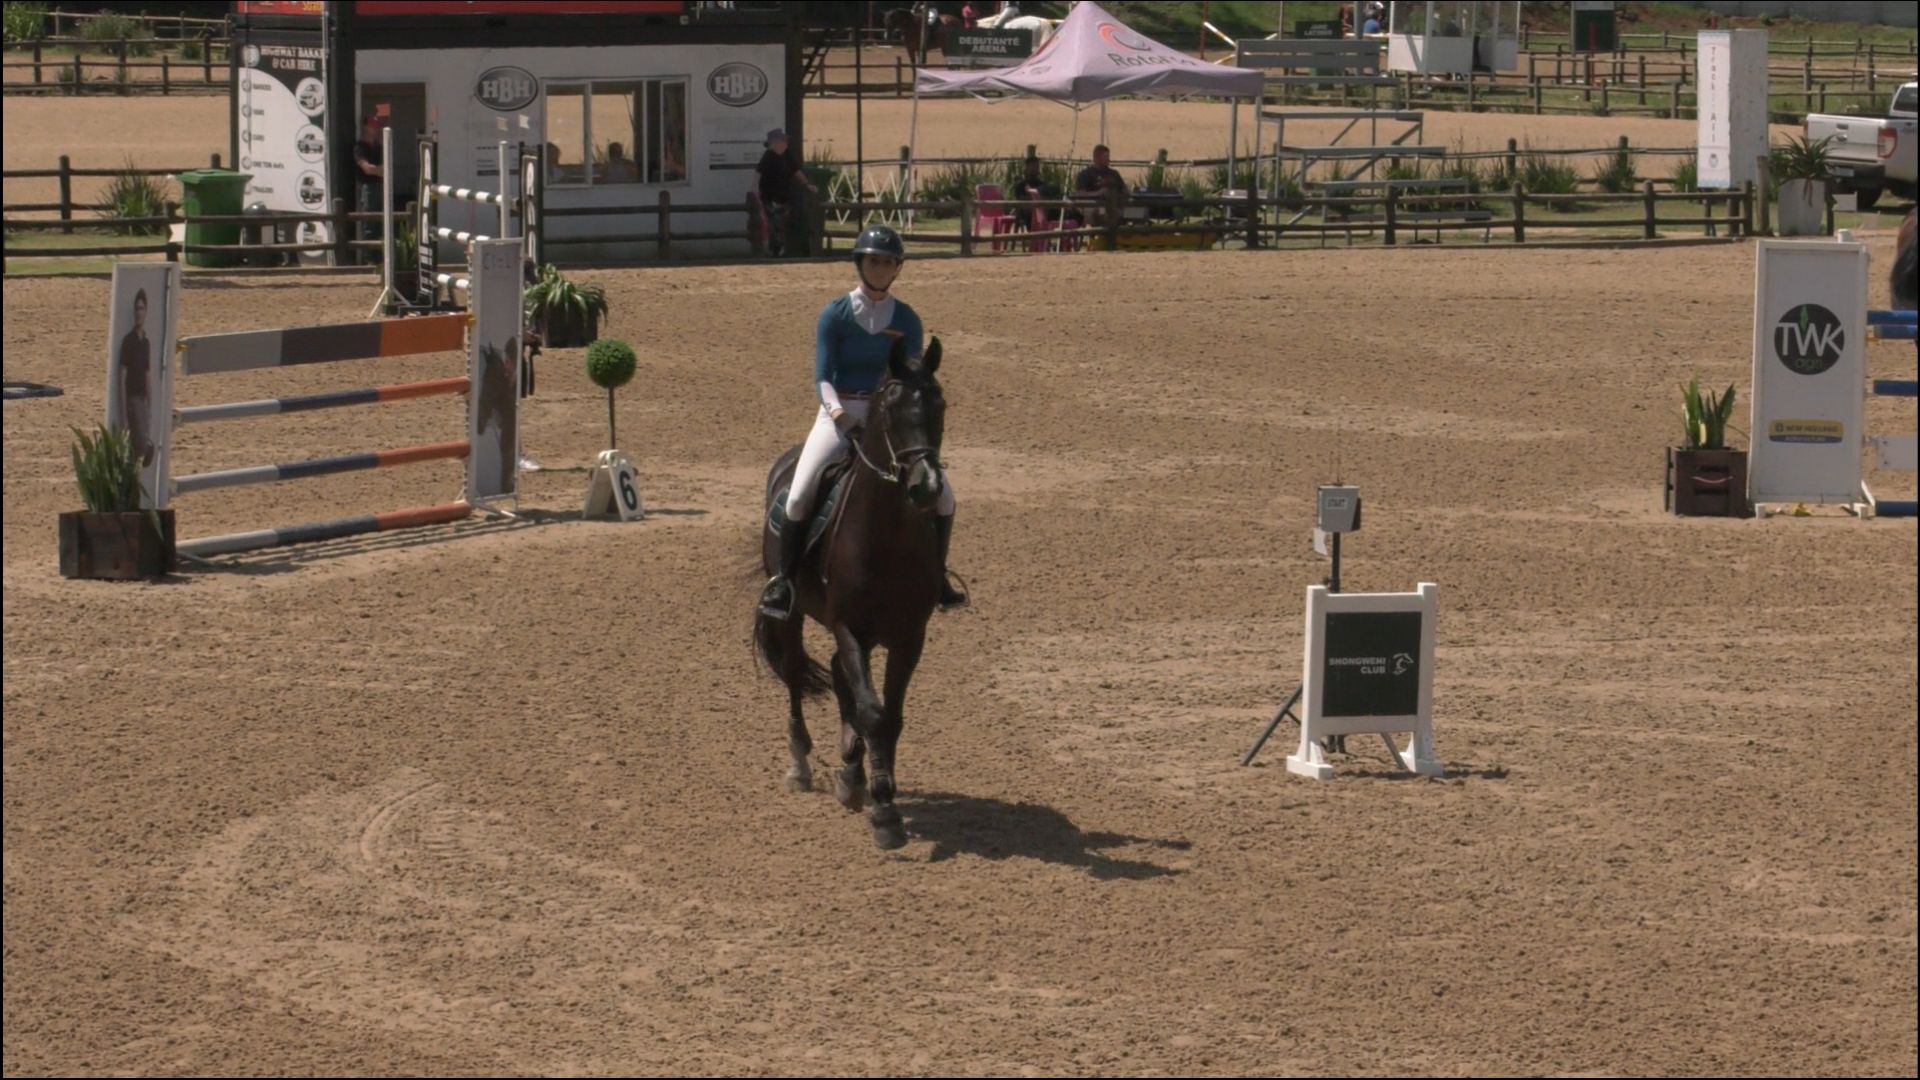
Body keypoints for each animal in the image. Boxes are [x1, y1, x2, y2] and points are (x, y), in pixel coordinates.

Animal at [753, 336, 948, 850]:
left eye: (940, 406)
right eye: (892, 409)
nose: (927, 486)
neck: (886, 537)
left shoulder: (908, 637)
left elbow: (889, 716)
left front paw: (871, 785)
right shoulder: (848, 627)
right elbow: (873, 713)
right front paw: (884, 814)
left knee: (840, 676)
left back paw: (849, 770)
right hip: (794, 616)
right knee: (796, 674)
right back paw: (801, 765)